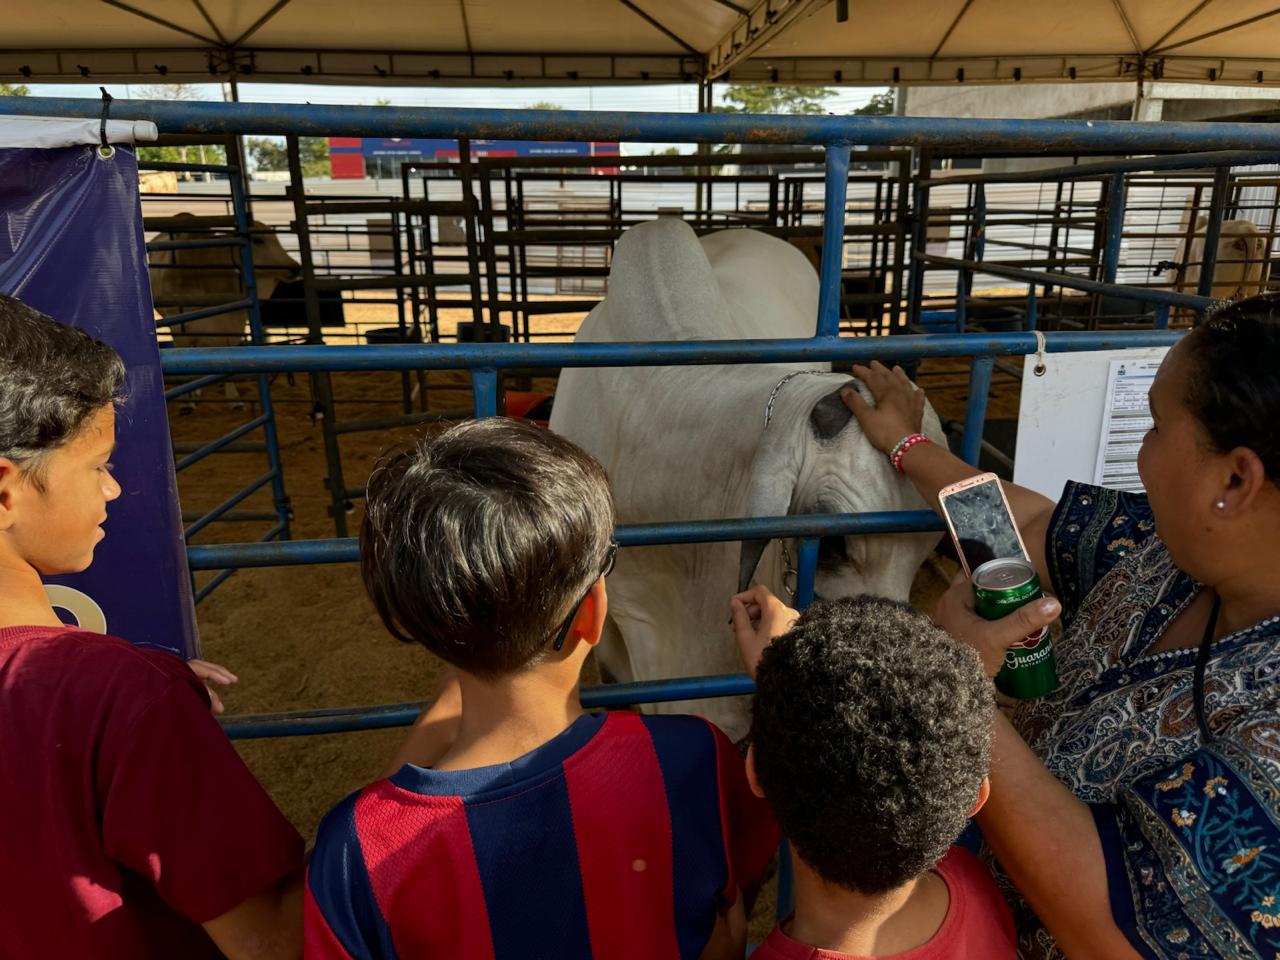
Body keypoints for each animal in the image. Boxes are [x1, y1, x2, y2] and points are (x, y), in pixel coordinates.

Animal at [149, 212, 299, 404]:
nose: (295, 267)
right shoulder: (179, 324)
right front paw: (189, 399)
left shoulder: (231, 320)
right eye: (258, 240)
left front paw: (233, 398)